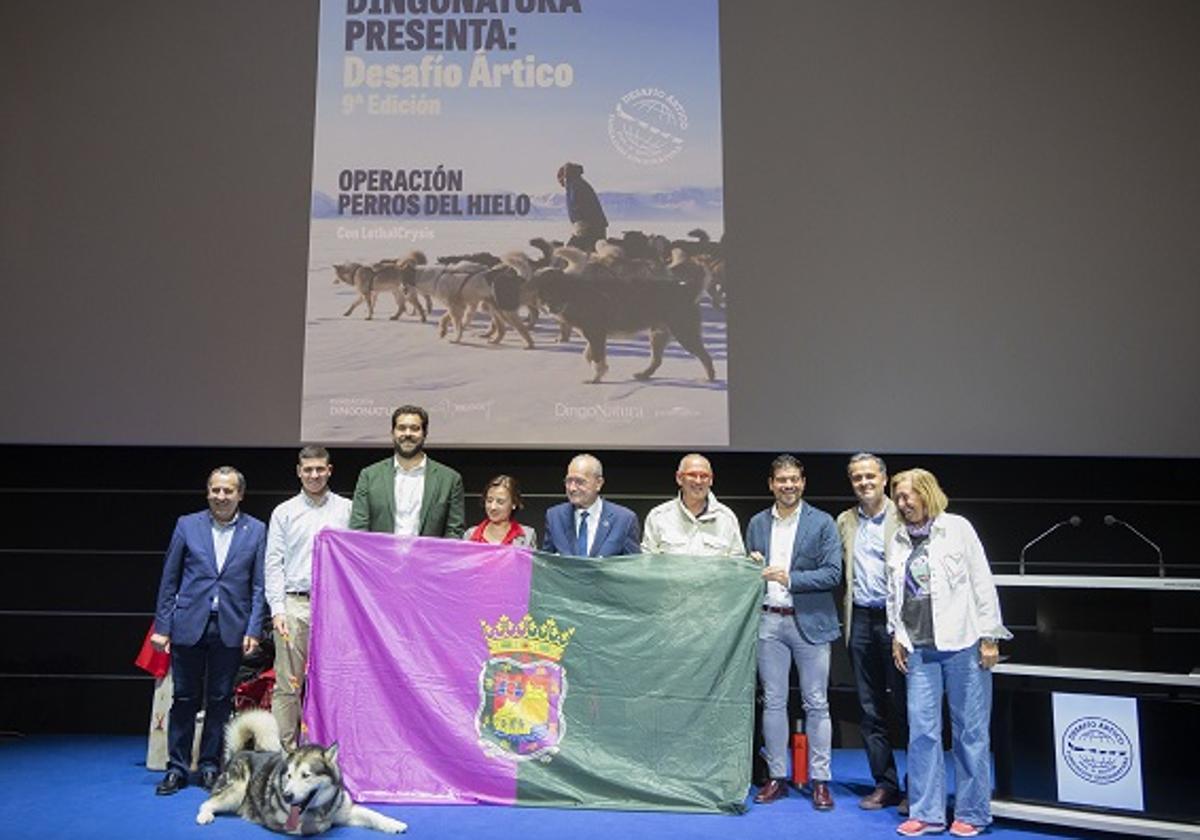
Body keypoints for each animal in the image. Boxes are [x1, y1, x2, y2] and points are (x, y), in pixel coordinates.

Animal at [194, 710, 405, 835]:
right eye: (288, 776)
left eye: (306, 775)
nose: (287, 796)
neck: (319, 809)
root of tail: (239, 752)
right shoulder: (280, 823)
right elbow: (312, 826)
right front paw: (322, 825)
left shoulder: (346, 810)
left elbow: (373, 815)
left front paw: (394, 824)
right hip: (235, 792)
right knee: (207, 803)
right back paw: (205, 816)